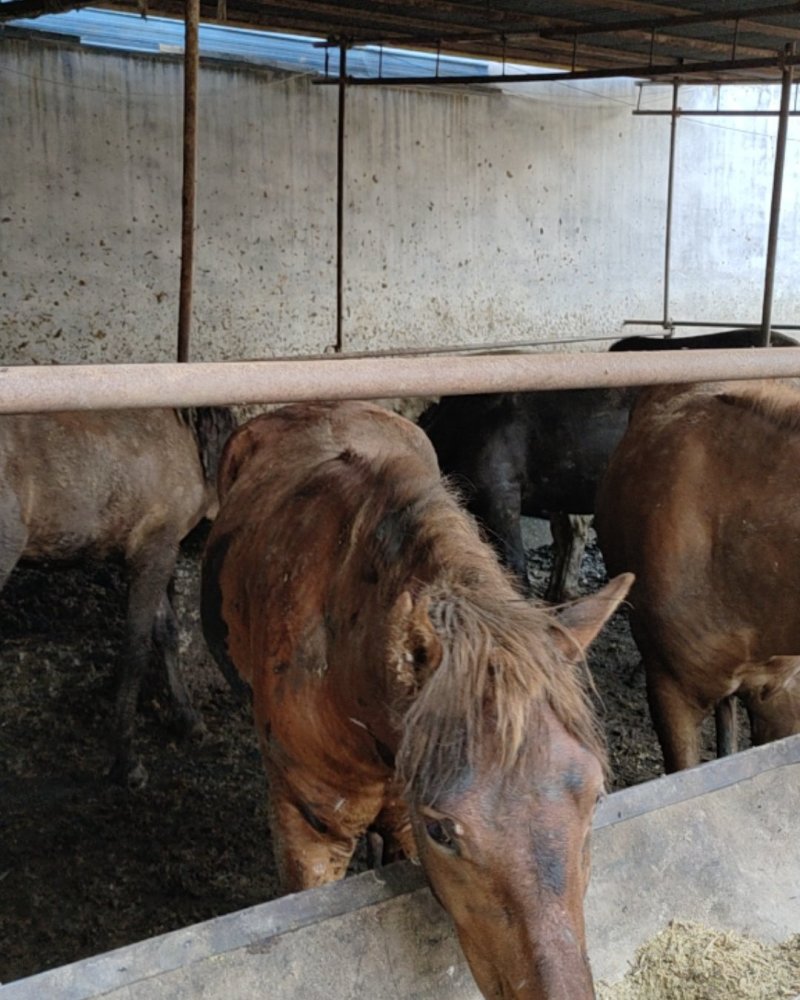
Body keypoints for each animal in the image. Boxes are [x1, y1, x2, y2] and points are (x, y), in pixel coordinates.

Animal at [0, 405, 236, 787]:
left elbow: (166, 631)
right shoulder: (155, 551)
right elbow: (135, 648)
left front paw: (188, 719)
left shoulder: (144, 554)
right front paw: (126, 760)